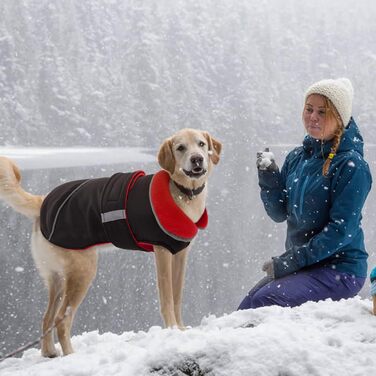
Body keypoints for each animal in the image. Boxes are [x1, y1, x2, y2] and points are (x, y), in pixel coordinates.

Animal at [0, 128, 222, 356]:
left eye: (201, 144)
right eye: (180, 148)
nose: (197, 159)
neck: (182, 192)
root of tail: (43, 201)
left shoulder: (180, 255)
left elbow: (177, 298)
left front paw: (181, 329)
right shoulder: (162, 252)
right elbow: (167, 298)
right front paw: (171, 329)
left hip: (57, 278)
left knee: (47, 318)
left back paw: (50, 352)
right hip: (83, 272)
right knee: (62, 319)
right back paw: (71, 354)